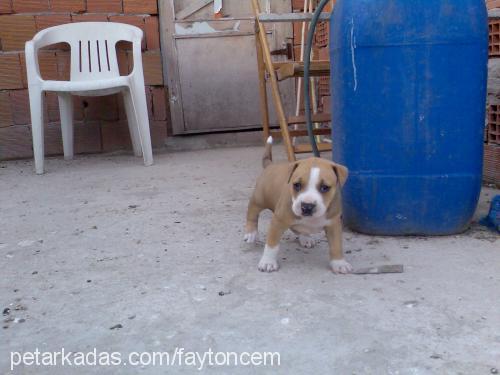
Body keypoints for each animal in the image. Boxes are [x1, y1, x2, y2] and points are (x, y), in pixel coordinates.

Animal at [243, 137, 352, 274]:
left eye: (325, 187)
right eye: (297, 185)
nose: (307, 206)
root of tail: (270, 165)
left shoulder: (334, 224)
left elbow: (336, 245)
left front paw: (339, 263)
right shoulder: (278, 221)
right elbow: (272, 244)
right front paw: (268, 262)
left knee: (298, 228)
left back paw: (305, 238)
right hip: (259, 199)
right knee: (252, 212)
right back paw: (251, 233)